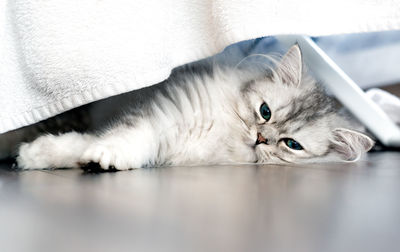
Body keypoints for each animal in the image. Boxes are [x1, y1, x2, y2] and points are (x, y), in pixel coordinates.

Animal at [13, 44, 376, 171]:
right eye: (265, 112)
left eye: (291, 144)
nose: (260, 138)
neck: (221, 135)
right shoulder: (161, 114)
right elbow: (117, 137)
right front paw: (38, 155)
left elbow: (97, 142)